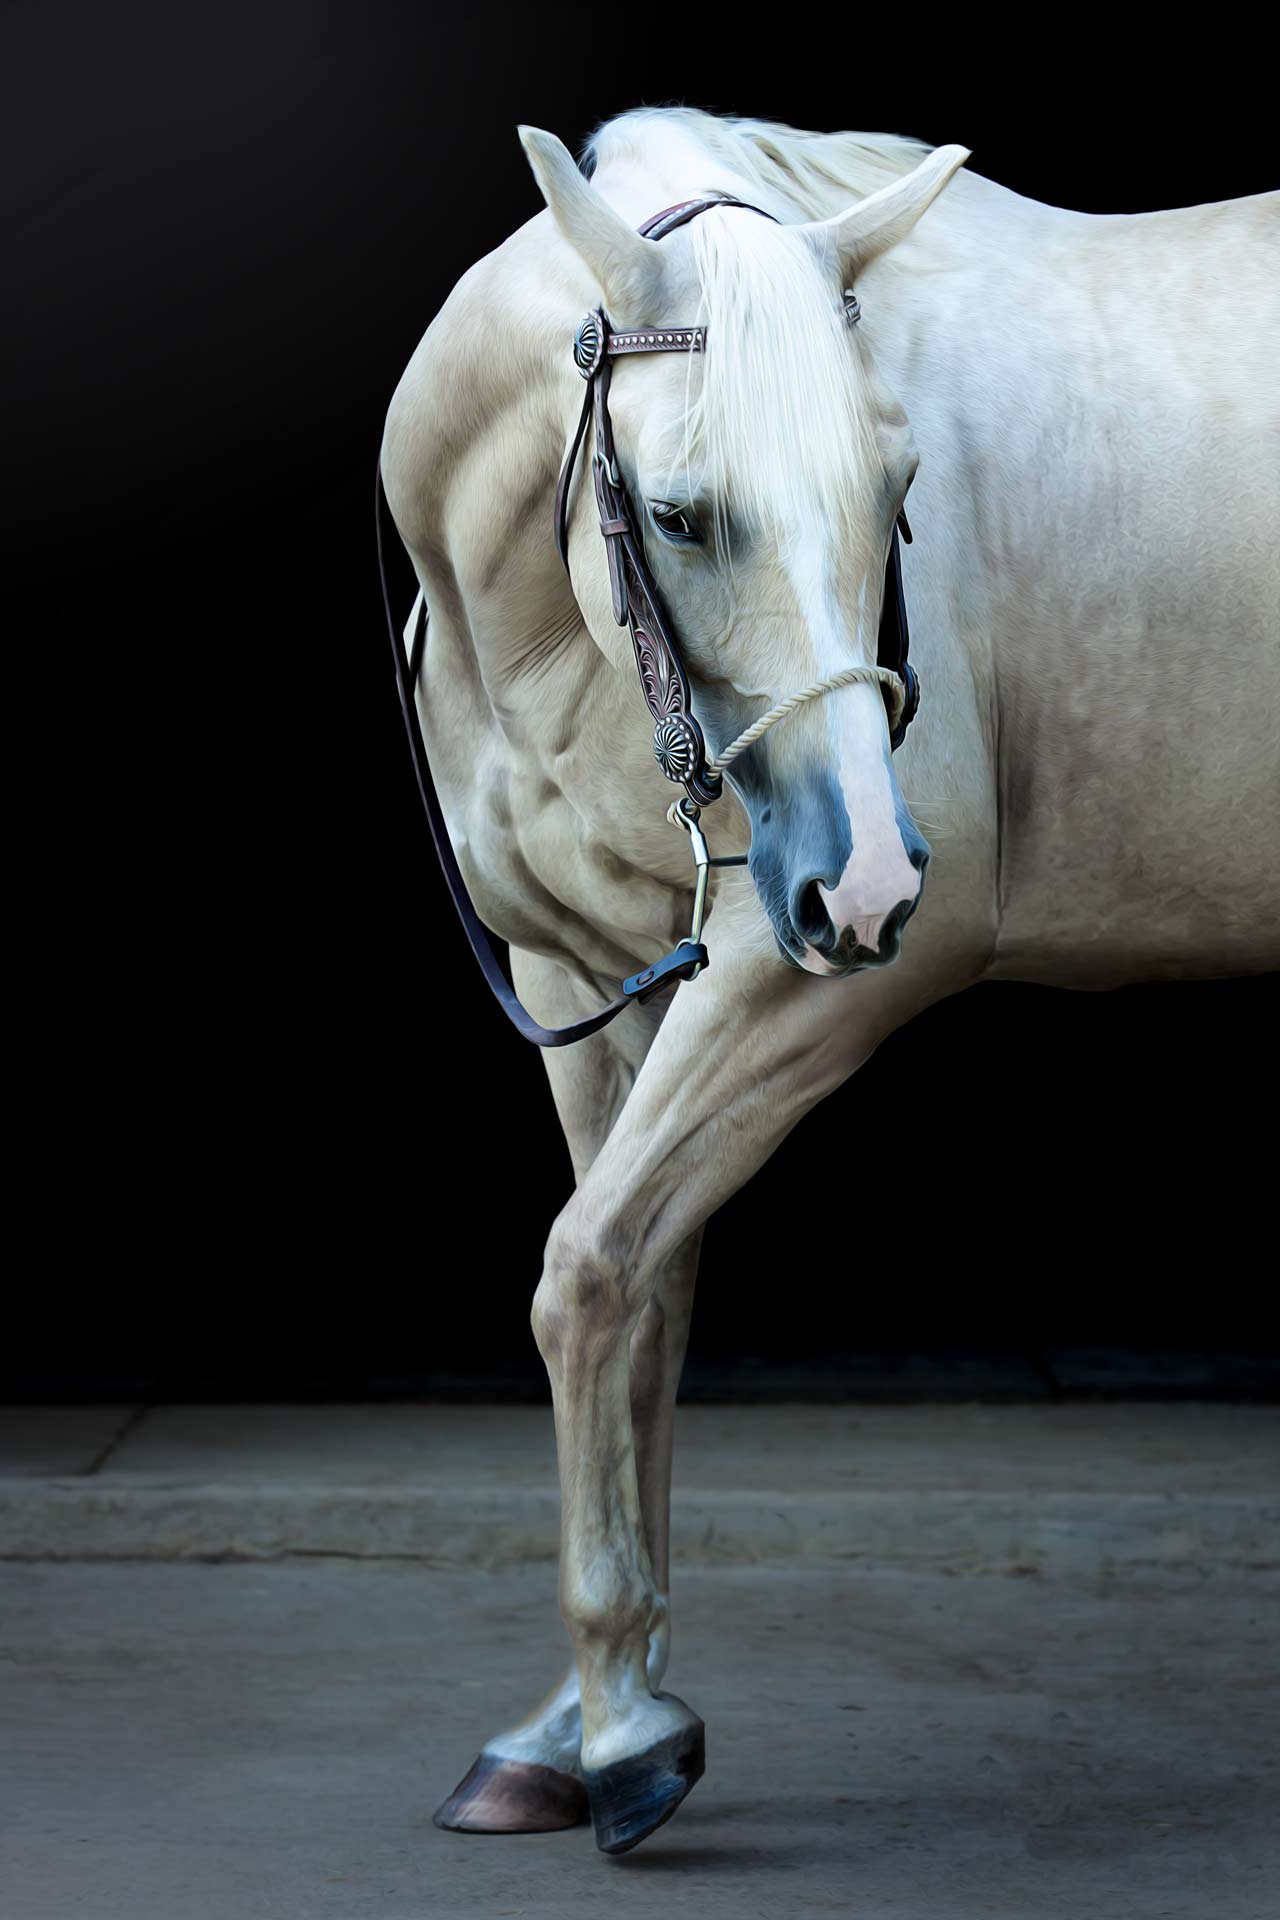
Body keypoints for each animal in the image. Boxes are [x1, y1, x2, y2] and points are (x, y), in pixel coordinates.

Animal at [379, 107, 1279, 1855]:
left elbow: (588, 1276)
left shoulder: (790, 987)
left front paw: (629, 1737)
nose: (864, 882)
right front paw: (579, 1724)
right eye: (678, 516)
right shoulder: (589, 981)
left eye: (899, 486)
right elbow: (646, 1306)